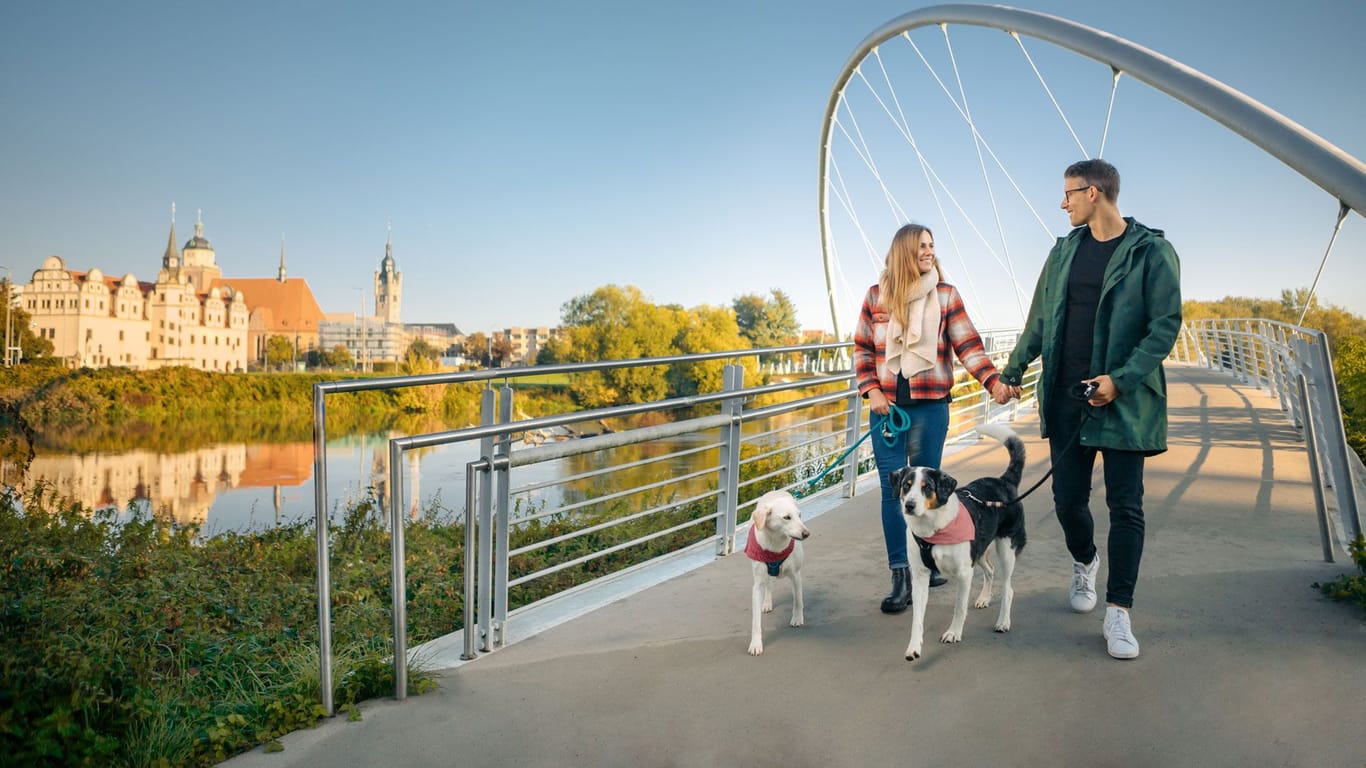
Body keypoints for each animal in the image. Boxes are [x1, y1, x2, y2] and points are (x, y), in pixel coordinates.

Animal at [748, 489, 808, 650]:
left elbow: (797, 600)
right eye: (786, 517)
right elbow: (755, 620)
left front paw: (797, 618)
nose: (806, 533)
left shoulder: (796, 575)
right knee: (768, 584)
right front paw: (756, 644)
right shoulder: (757, 585)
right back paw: (767, 603)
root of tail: (775, 491)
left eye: (799, 515)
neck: (775, 543)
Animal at [896, 418, 1027, 658]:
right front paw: (914, 646)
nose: (909, 505)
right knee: (990, 570)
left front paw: (953, 633)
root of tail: (1004, 481)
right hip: (980, 548)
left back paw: (1003, 621)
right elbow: (917, 617)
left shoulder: (965, 573)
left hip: (1007, 548)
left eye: (927, 487)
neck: (933, 529)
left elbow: (959, 607)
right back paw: (984, 598)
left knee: (1008, 588)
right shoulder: (920, 575)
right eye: (906, 486)